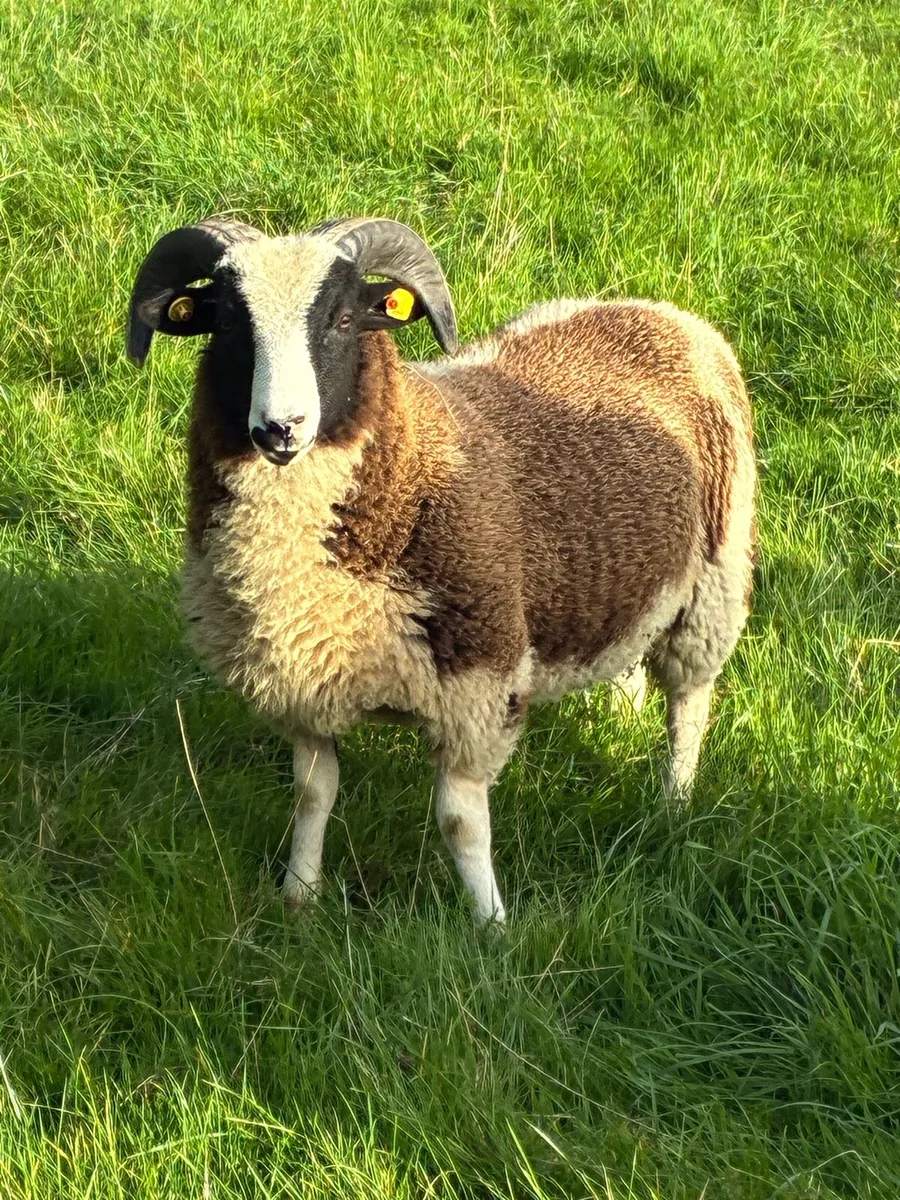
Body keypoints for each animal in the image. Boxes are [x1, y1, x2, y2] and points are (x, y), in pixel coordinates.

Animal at [127, 216, 755, 925]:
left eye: (344, 319)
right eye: (230, 323)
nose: (281, 428)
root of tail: (657, 311)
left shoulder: (474, 683)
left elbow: (460, 823)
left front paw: (492, 926)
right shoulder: (302, 685)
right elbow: (313, 795)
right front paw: (300, 896)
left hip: (714, 581)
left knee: (688, 705)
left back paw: (673, 804)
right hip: (615, 577)